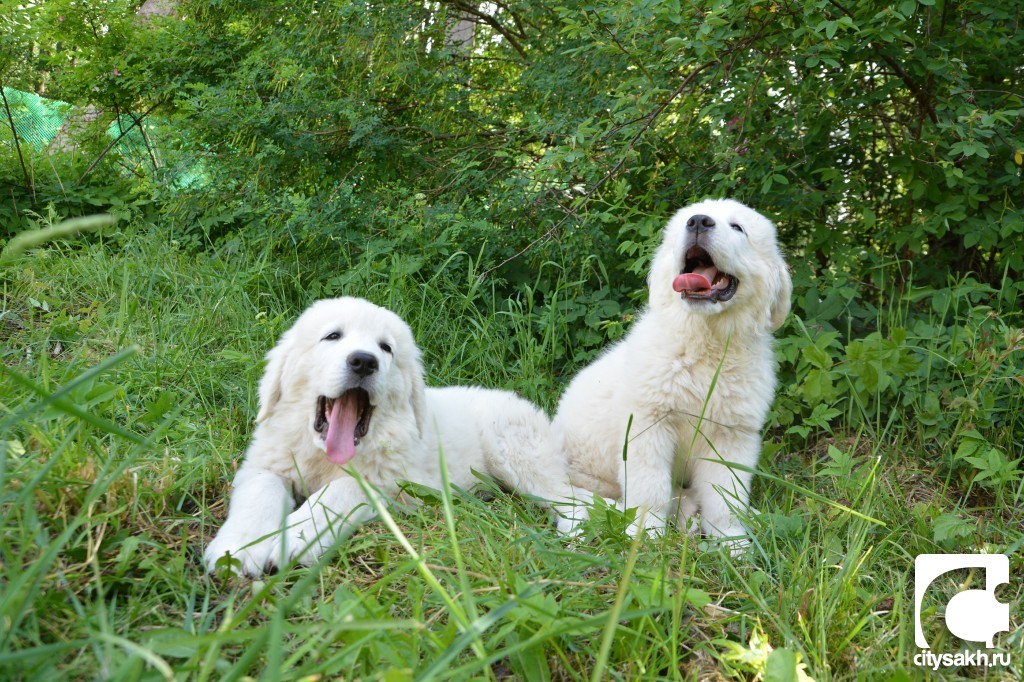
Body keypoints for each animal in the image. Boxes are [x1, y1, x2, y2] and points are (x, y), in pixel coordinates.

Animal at [203, 296, 581, 573]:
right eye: (332, 336)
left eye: (385, 348)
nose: (363, 361)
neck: (324, 454)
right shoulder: (265, 465)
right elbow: (259, 491)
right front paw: (237, 548)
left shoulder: (389, 486)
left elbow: (337, 492)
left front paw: (294, 538)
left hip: (516, 454)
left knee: (578, 499)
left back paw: (574, 536)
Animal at [557, 196, 786, 540]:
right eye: (684, 224)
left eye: (738, 227)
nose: (698, 222)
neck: (705, 344)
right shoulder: (648, 426)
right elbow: (650, 489)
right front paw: (646, 535)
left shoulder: (731, 435)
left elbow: (726, 496)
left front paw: (732, 540)